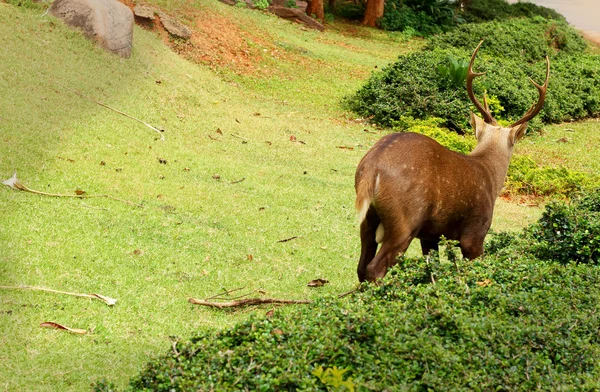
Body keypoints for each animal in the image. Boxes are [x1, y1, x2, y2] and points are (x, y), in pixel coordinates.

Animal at [356, 41, 548, 282]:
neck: (490, 175)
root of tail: (372, 169)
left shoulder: (431, 235)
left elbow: (433, 270)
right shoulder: (475, 232)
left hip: (368, 219)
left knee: (361, 267)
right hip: (405, 218)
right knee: (375, 268)